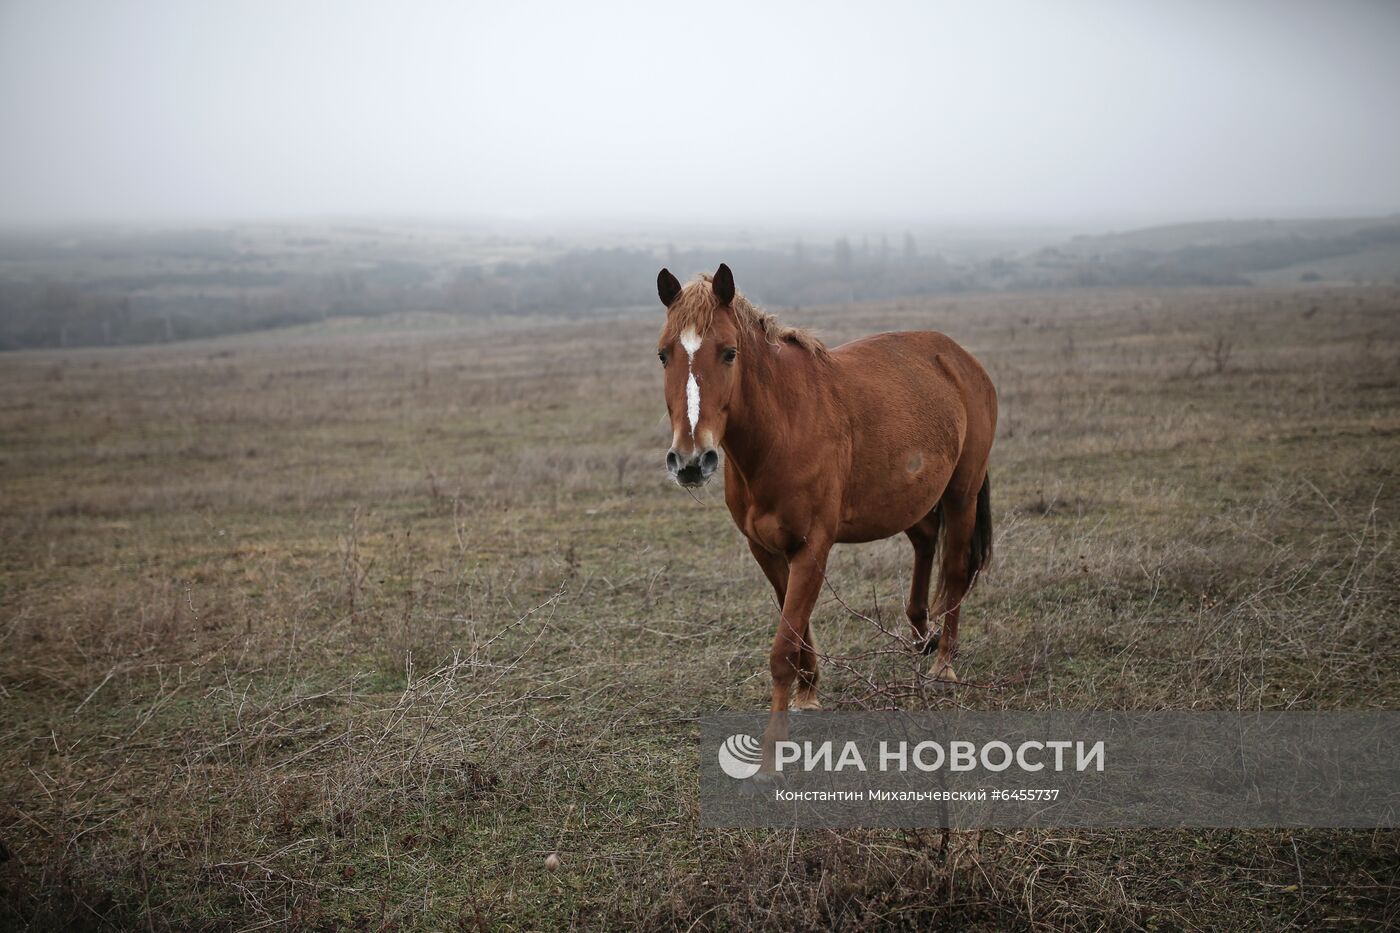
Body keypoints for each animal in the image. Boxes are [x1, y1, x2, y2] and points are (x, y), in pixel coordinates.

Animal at [655, 264, 996, 714]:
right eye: (664, 354)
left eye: (729, 352)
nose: (691, 460)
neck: (783, 429)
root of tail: (959, 358)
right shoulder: (765, 549)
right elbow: (797, 633)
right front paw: (808, 692)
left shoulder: (812, 548)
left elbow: (784, 647)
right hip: (909, 497)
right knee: (925, 541)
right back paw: (923, 634)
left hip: (962, 494)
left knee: (955, 568)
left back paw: (943, 665)